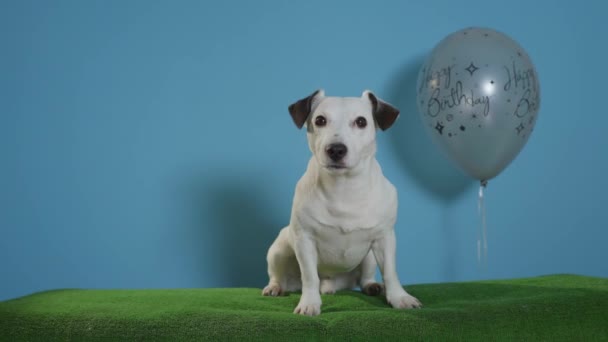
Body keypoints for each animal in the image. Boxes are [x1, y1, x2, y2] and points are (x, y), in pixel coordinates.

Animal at [262, 90, 422, 316]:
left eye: (361, 121)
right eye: (320, 120)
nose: (336, 149)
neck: (344, 188)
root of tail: (332, 284)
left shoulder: (385, 238)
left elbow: (390, 272)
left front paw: (399, 297)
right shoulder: (304, 240)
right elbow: (309, 276)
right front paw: (309, 303)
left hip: (369, 256)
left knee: (365, 277)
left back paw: (372, 286)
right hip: (279, 249)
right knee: (280, 275)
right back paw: (275, 287)